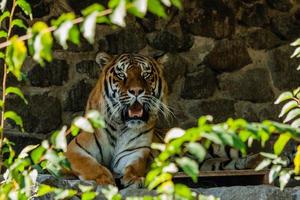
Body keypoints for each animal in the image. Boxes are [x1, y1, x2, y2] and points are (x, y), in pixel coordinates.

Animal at [65, 51, 169, 188]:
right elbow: (90, 165)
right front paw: (105, 181)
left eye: (146, 74)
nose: (136, 91)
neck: (119, 125)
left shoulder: (135, 151)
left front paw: (134, 179)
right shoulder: (75, 148)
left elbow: (134, 167)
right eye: (121, 75)